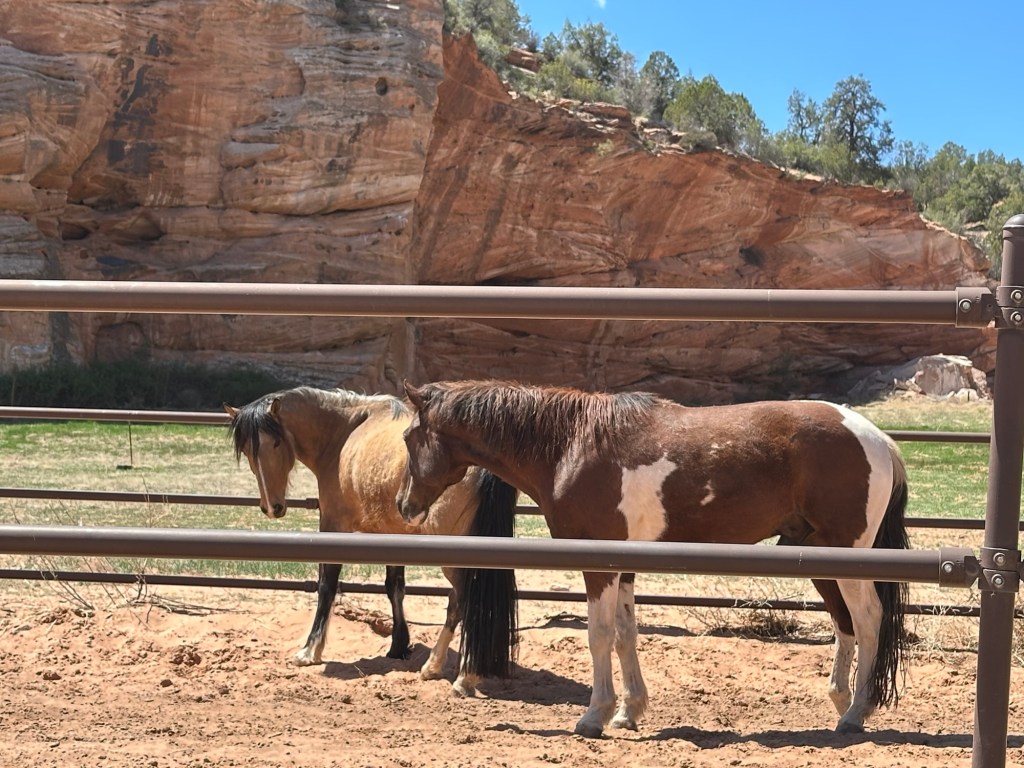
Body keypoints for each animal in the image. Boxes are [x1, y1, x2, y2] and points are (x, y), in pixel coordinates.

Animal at [225, 385, 519, 695]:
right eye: (246, 450)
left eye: (276, 443)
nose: (272, 507)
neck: (344, 432)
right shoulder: (392, 534)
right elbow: (394, 587)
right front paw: (399, 646)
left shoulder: (333, 527)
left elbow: (327, 586)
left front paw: (310, 651)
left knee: (461, 600)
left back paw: (455, 674)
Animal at [396, 379, 910, 738]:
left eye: (407, 438)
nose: (405, 505)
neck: (571, 447)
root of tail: (877, 439)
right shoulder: (622, 567)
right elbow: (626, 636)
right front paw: (628, 711)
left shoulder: (598, 566)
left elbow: (599, 637)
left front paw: (594, 717)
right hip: (819, 556)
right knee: (845, 624)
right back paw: (844, 703)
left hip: (846, 553)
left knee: (868, 618)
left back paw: (855, 714)